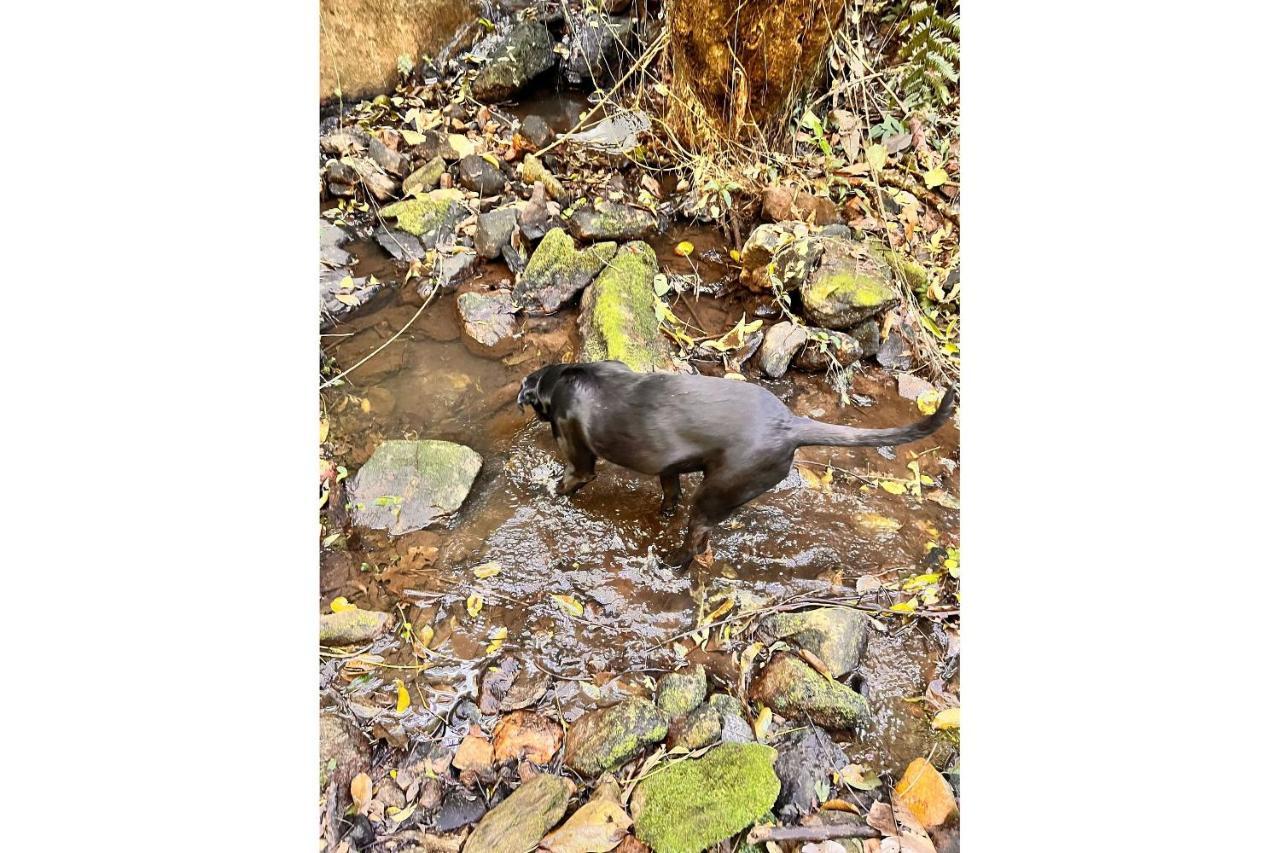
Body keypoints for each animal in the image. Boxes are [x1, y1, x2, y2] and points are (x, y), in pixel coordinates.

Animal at [514, 358, 957, 563]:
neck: (564, 380)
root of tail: (789, 424)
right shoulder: (670, 469)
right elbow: (669, 491)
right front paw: (662, 511)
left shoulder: (579, 463)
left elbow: (565, 482)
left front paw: (539, 490)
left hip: (717, 492)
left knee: (695, 543)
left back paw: (670, 563)